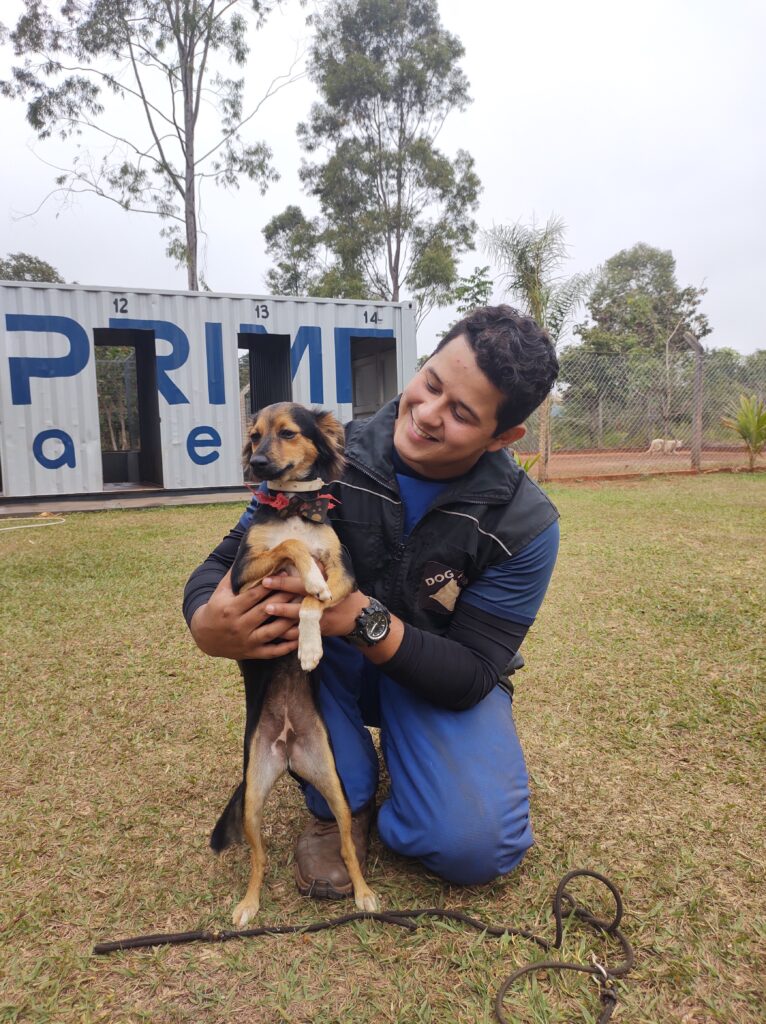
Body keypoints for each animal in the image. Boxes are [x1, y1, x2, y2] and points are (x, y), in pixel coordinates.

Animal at [210, 401, 378, 929]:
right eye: (255, 436)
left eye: (287, 433)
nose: (259, 465)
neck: (293, 510)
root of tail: (286, 750)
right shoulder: (244, 577)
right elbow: (290, 547)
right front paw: (306, 578)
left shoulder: (346, 574)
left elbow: (310, 599)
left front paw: (308, 646)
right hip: (252, 802)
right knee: (259, 860)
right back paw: (247, 905)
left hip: (335, 790)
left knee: (346, 844)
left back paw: (364, 893)